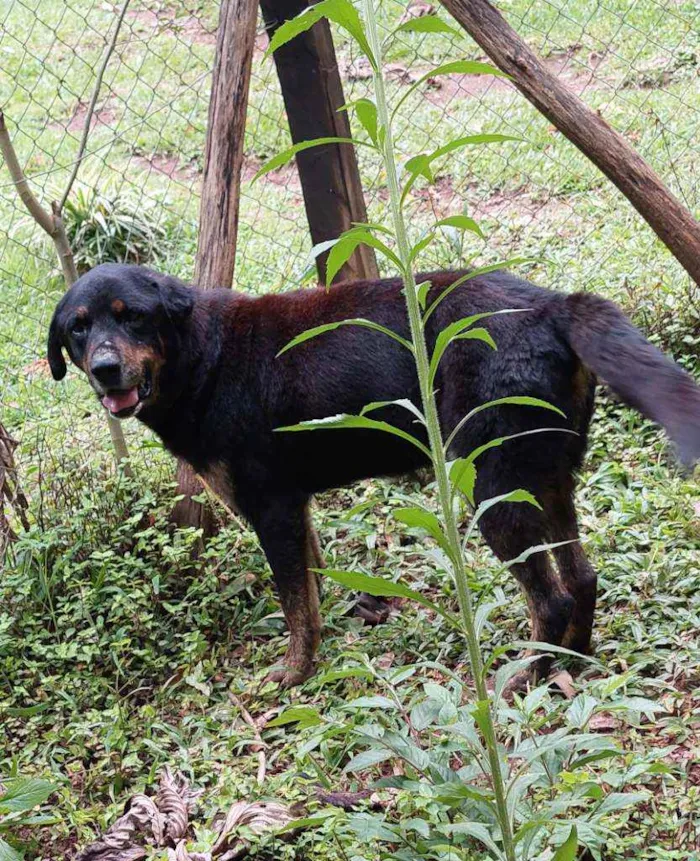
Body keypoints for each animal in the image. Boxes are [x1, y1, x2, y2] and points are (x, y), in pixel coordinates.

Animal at [49, 262, 700, 684]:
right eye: (78, 328)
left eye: (133, 317)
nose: (104, 368)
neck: (201, 355)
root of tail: (551, 305)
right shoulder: (296, 508)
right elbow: (312, 592)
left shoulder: (271, 509)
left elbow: (295, 607)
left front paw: (293, 677)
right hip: (547, 476)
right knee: (584, 579)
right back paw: (575, 662)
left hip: (494, 488)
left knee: (555, 597)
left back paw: (530, 679)